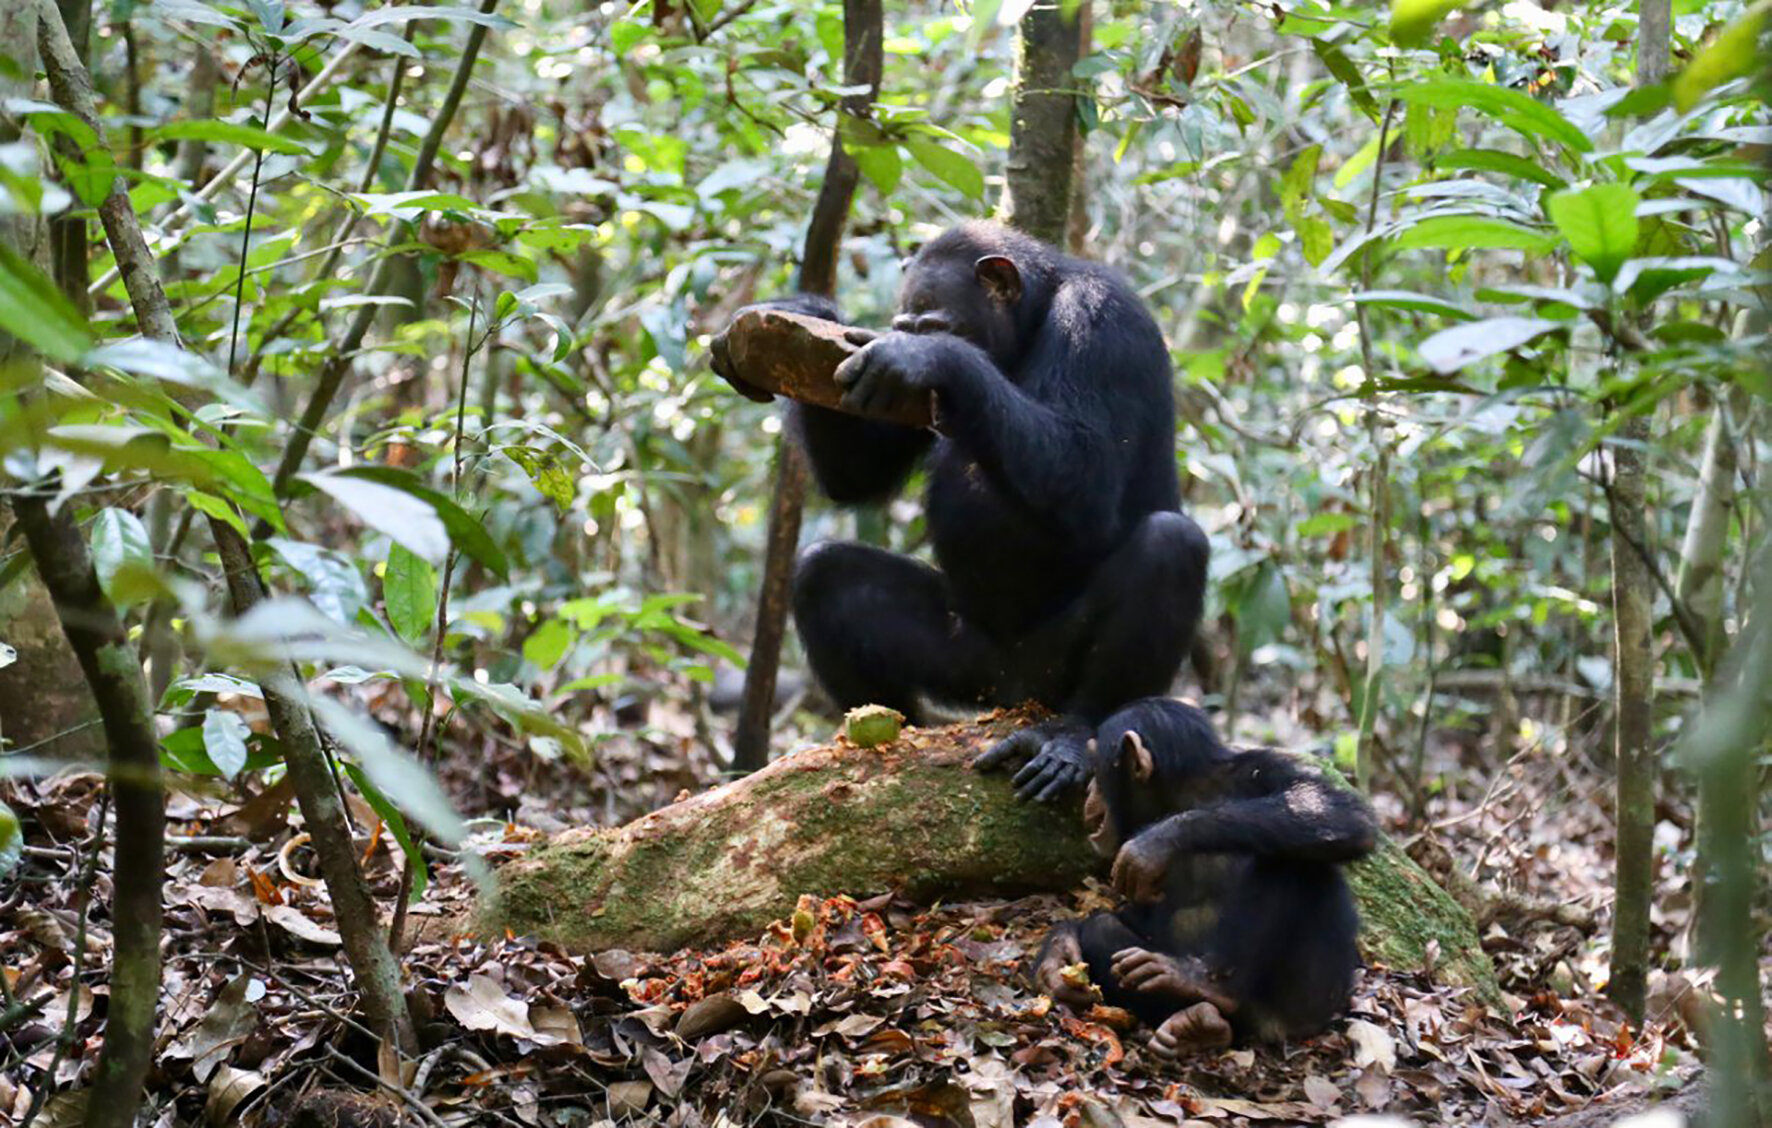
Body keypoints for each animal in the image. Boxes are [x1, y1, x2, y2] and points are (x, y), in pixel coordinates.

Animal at [712, 222, 1212, 800]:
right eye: (903, 323)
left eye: (932, 325)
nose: (911, 338)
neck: (1033, 318)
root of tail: (1016, 695)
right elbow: (855, 472)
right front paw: (802, 311)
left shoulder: (1102, 322)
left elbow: (1088, 470)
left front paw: (931, 357)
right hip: (968, 668)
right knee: (825, 572)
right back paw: (891, 736)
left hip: (1051, 672)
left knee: (1170, 545)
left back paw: (1070, 738)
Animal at [1034, 694, 1375, 1055]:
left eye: (1098, 768)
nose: (1089, 792)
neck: (1184, 795)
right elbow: (1128, 917)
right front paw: (1057, 957)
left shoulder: (1267, 765)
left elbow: (1335, 808)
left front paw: (1159, 839)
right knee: (1102, 930)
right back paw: (1199, 1022)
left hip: (1303, 1004)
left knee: (1290, 857)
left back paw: (1209, 987)